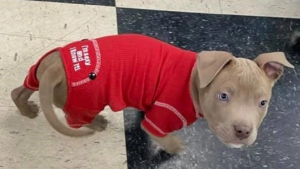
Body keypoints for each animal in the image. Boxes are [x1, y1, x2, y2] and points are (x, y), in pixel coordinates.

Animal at [11, 33, 292, 154]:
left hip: (39, 71)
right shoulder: (161, 118)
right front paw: (176, 148)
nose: (243, 131)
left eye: (263, 103)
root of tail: (57, 67)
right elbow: (162, 136)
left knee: (20, 89)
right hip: (87, 101)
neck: (194, 79)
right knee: (74, 118)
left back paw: (27, 109)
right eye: (223, 97)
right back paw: (98, 123)